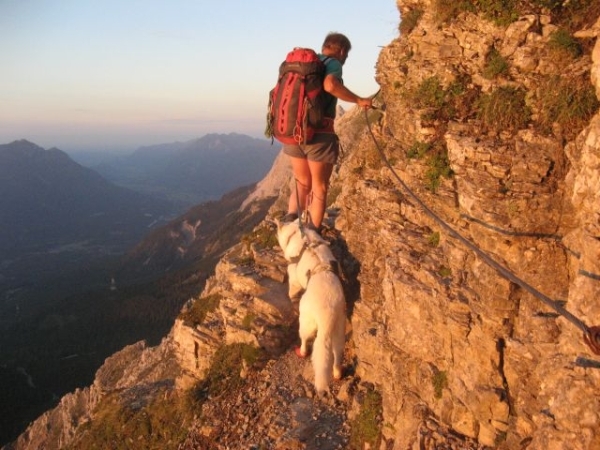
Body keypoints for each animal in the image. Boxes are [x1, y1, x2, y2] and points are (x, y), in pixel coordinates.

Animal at [276, 220, 344, 392]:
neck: (297, 233)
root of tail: (327, 313)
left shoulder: (293, 278)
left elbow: (292, 290)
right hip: (339, 330)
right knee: (337, 354)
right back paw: (337, 373)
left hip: (306, 323)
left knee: (305, 340)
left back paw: (301, 351)